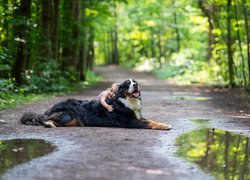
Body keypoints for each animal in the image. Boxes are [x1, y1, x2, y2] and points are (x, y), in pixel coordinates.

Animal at [20, 78, 172, 130]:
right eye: (127, 83)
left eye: (135, 82)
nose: (136, 85)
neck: (128, 102)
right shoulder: (131, 121)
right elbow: (150, 124)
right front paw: (164, 126)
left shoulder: (138, 116)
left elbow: (152, 120)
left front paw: (165, 123)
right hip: (68, 115)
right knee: (43, 119)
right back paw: (49, 124)